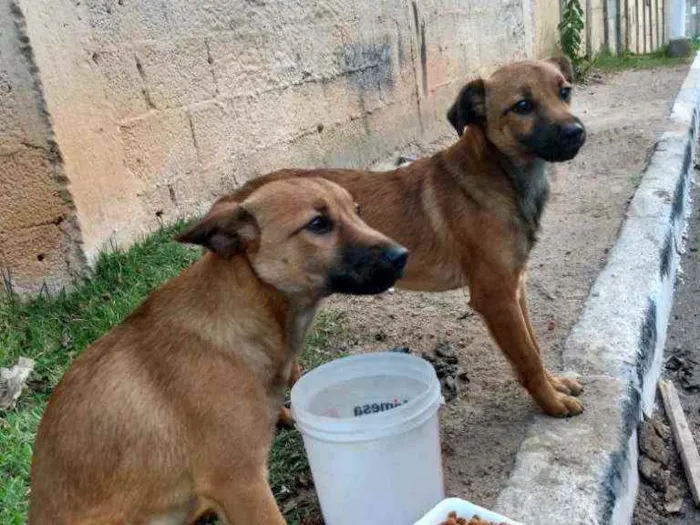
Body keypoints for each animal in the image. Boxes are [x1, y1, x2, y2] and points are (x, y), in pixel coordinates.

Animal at [224, 57, 584, 418]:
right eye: (522, 106)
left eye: (565, 92)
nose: (577, 132)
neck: (500, 175)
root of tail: (237, 200)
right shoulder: (495, 296)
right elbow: (527, 357)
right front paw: (552, 402)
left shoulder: (516, 286)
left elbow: (534, 345)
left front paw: (556, 384)